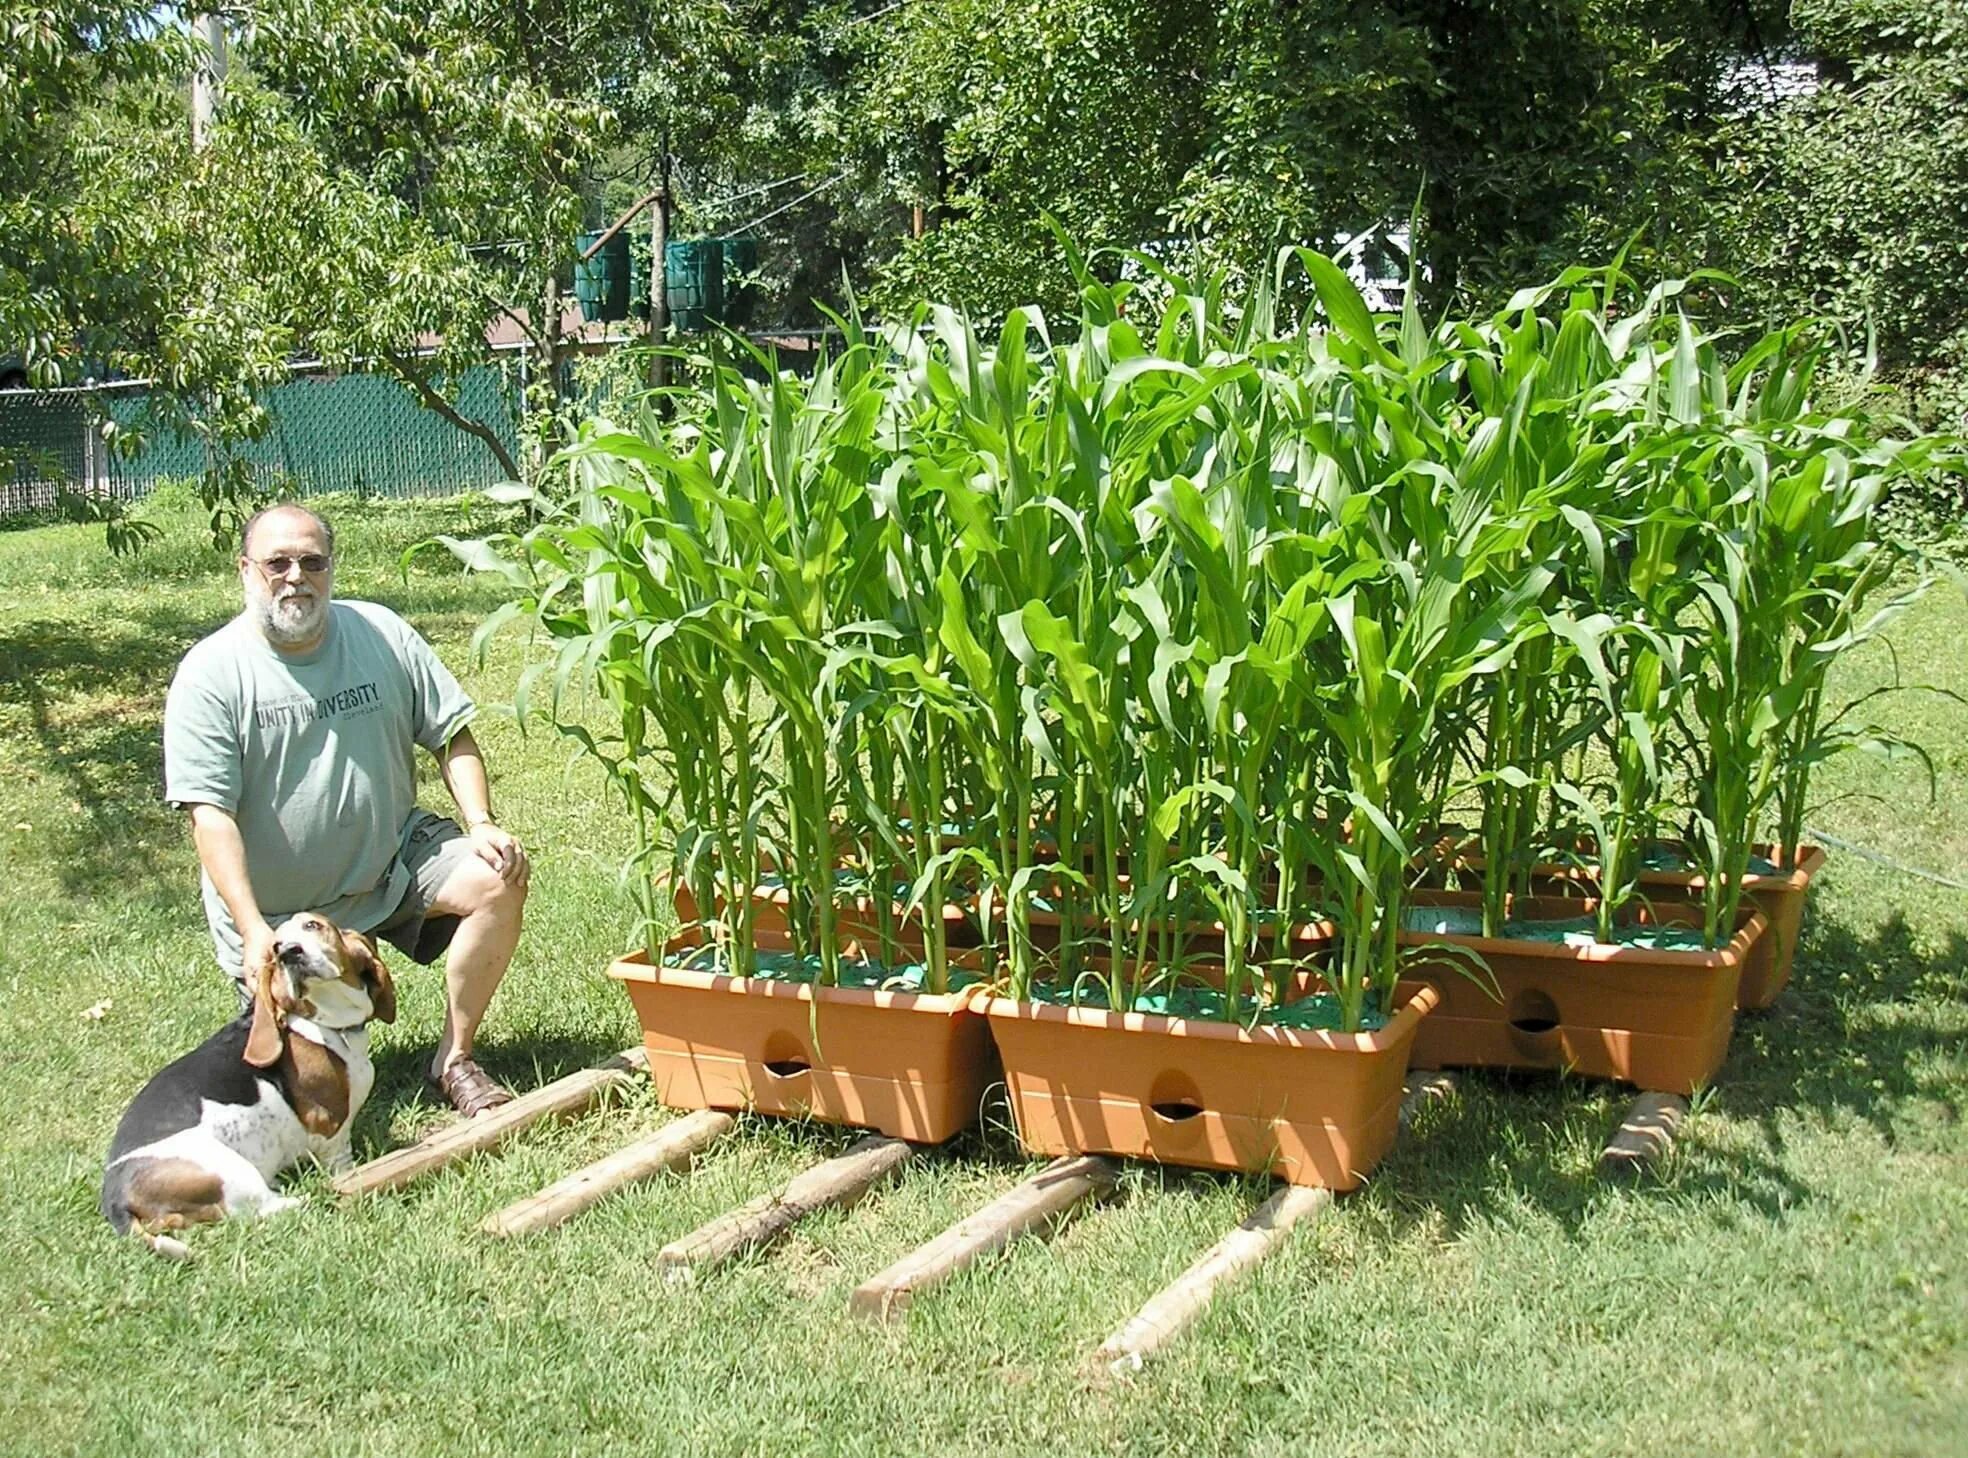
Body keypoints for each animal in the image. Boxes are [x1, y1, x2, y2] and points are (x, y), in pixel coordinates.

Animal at [101, 909, 393, 1251]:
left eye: (313, 925)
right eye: (276, 947)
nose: (289, 952)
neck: (322, 1023)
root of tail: (115, 1200)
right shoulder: (329, 1126)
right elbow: (341, 1159)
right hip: (229, 1168)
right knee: (267, 1206)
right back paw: (305, 1197)